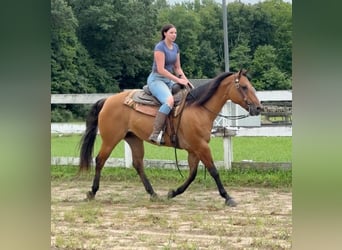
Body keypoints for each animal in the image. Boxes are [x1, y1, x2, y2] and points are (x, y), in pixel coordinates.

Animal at [79, 69, 262, 206]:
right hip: (111, 139)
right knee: (100, 160)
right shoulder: (201, 146)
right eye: (244, 87)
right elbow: (214, 171)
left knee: (138, 164)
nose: (259, 108)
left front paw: (173, 192)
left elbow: (192, 174)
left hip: (133, 139)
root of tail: (107, 100)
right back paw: (92, 192)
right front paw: (227, 197)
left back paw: (153, 194)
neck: (198, 109)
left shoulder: (194, 150)